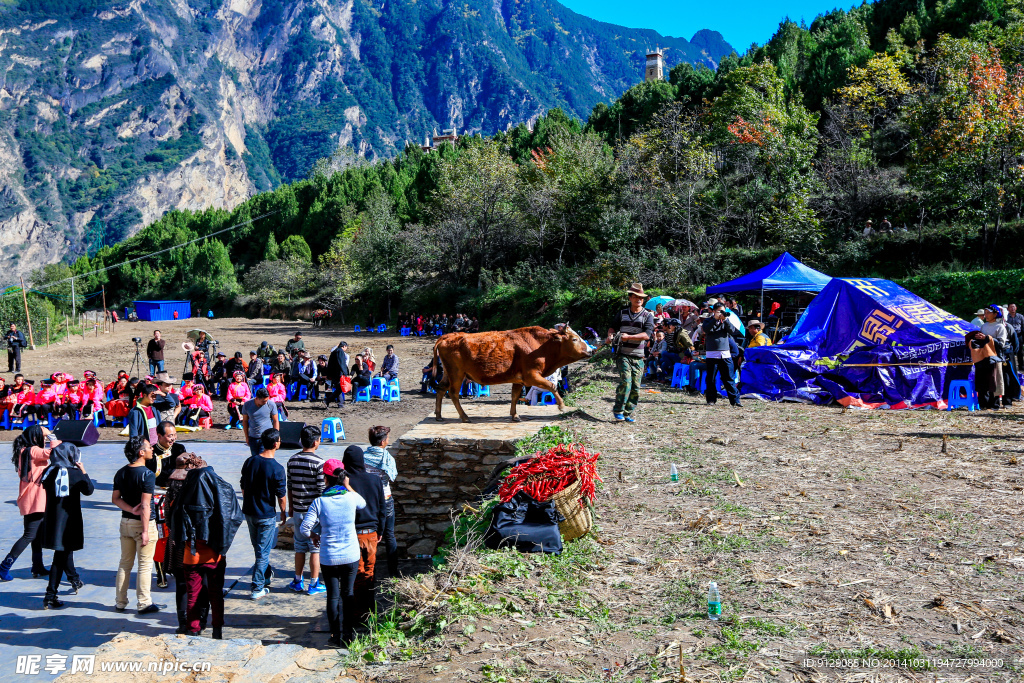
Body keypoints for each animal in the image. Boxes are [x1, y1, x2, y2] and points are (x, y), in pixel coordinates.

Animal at [432, 325, 593, 421]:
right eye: (574, 339)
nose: (591, 351)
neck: (541, 346)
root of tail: (448, 336)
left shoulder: (519, 379)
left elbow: (515, 395)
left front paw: (514, 415)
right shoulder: (531, 376)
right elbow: (551, 386)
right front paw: (561, 406)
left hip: (448, 373)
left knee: (440, 389)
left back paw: (439, 415)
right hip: (456, 374)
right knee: (453, 393)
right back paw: (464, 417)